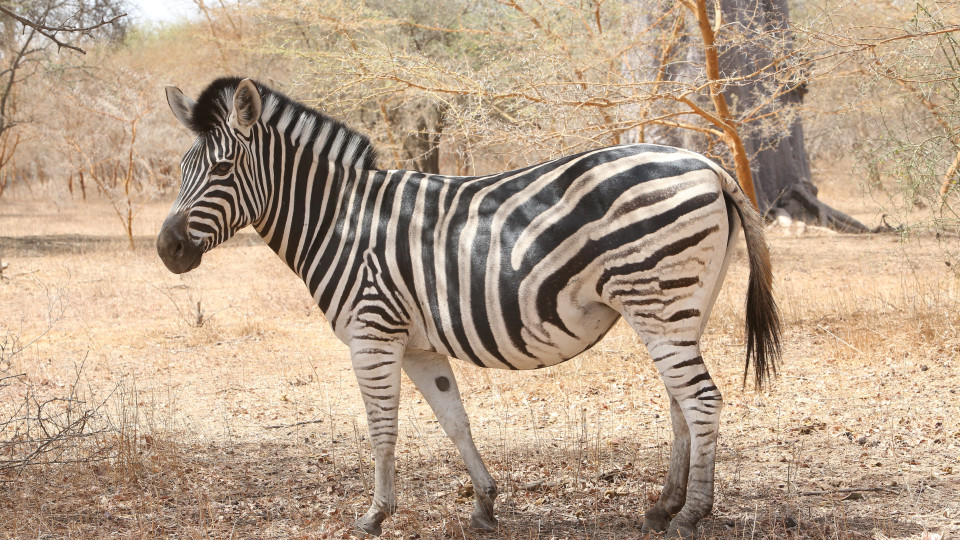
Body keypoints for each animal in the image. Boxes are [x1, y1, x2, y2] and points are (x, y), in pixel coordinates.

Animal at [156, 78, 772, 536]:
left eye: (221, 171)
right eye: (182, 171)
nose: (167, 249)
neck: (340, 220)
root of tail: (705, 163)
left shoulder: (373, 334)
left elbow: (382, 429)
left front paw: (374, 515)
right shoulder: (417, 345)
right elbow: (454, 419)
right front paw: (484, 503)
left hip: (659, 300)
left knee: (702, 400)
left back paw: (692, 515)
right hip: (679, 309)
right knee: (681, 403)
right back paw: (663, 506)